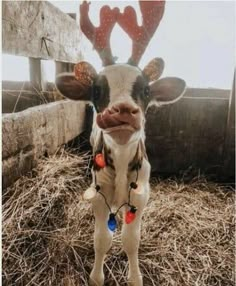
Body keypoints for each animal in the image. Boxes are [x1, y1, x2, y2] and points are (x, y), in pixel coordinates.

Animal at [56, 1, 185, 284]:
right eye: (97, 90)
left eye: (146, 90)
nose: (123, 111)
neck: (123, 165)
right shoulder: (99, 192)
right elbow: (102, 238)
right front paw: (96, 277)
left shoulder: (140, 195)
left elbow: (131, 240)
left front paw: (135, 277)